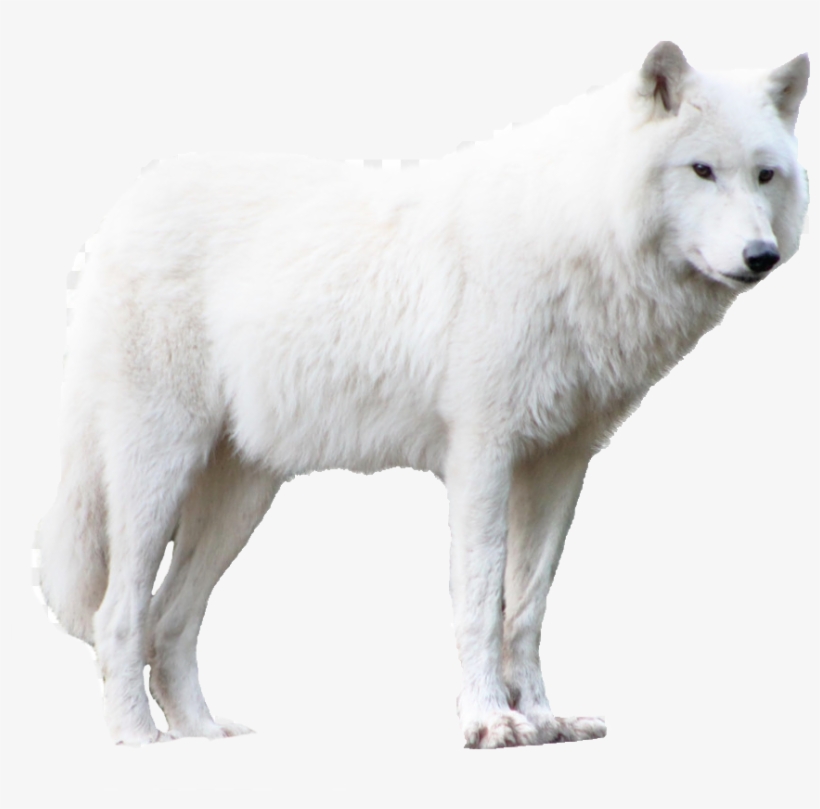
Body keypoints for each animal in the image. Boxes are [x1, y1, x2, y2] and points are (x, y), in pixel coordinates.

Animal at [36, 42, 809, 748]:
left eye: (765, 174)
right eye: (701, 170)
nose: (761, 257)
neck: (577, 232)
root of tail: (128, 205)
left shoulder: (560, 464)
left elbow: (527, 607)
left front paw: (543, 719)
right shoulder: (481, 456)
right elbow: (481, 599)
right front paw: (489, 721)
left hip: (242, 498)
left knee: (171, 621)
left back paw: (202, 732)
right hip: (158, 473)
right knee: (119, 614)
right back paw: (138, 738)